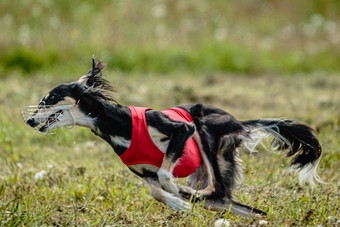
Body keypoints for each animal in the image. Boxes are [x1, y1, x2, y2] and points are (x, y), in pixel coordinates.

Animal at [22, 56, 322, 216]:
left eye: (51, 97)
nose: (28, 120)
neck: (119, 126)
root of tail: (238, 120)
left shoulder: (182, 130)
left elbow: (166, 175)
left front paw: (179, 195)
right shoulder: (145, 173)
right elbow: (156, 190)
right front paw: (177, 202)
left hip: (204, 131)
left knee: (216, 187)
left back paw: (189, 192)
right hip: (216, 187)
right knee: (235, 203)